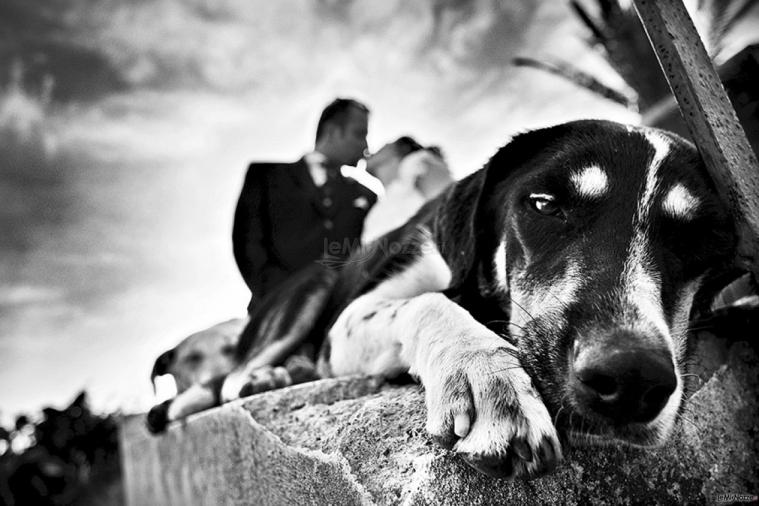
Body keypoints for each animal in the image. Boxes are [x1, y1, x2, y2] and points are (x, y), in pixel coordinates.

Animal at [147, 120, 736, 480]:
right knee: (224, 382)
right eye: (545, 204)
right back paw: (266, 375)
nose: (631, 377)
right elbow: (430, 301)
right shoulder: (350, 320)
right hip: (311, 292)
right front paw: (486, 379)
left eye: (702, 242)